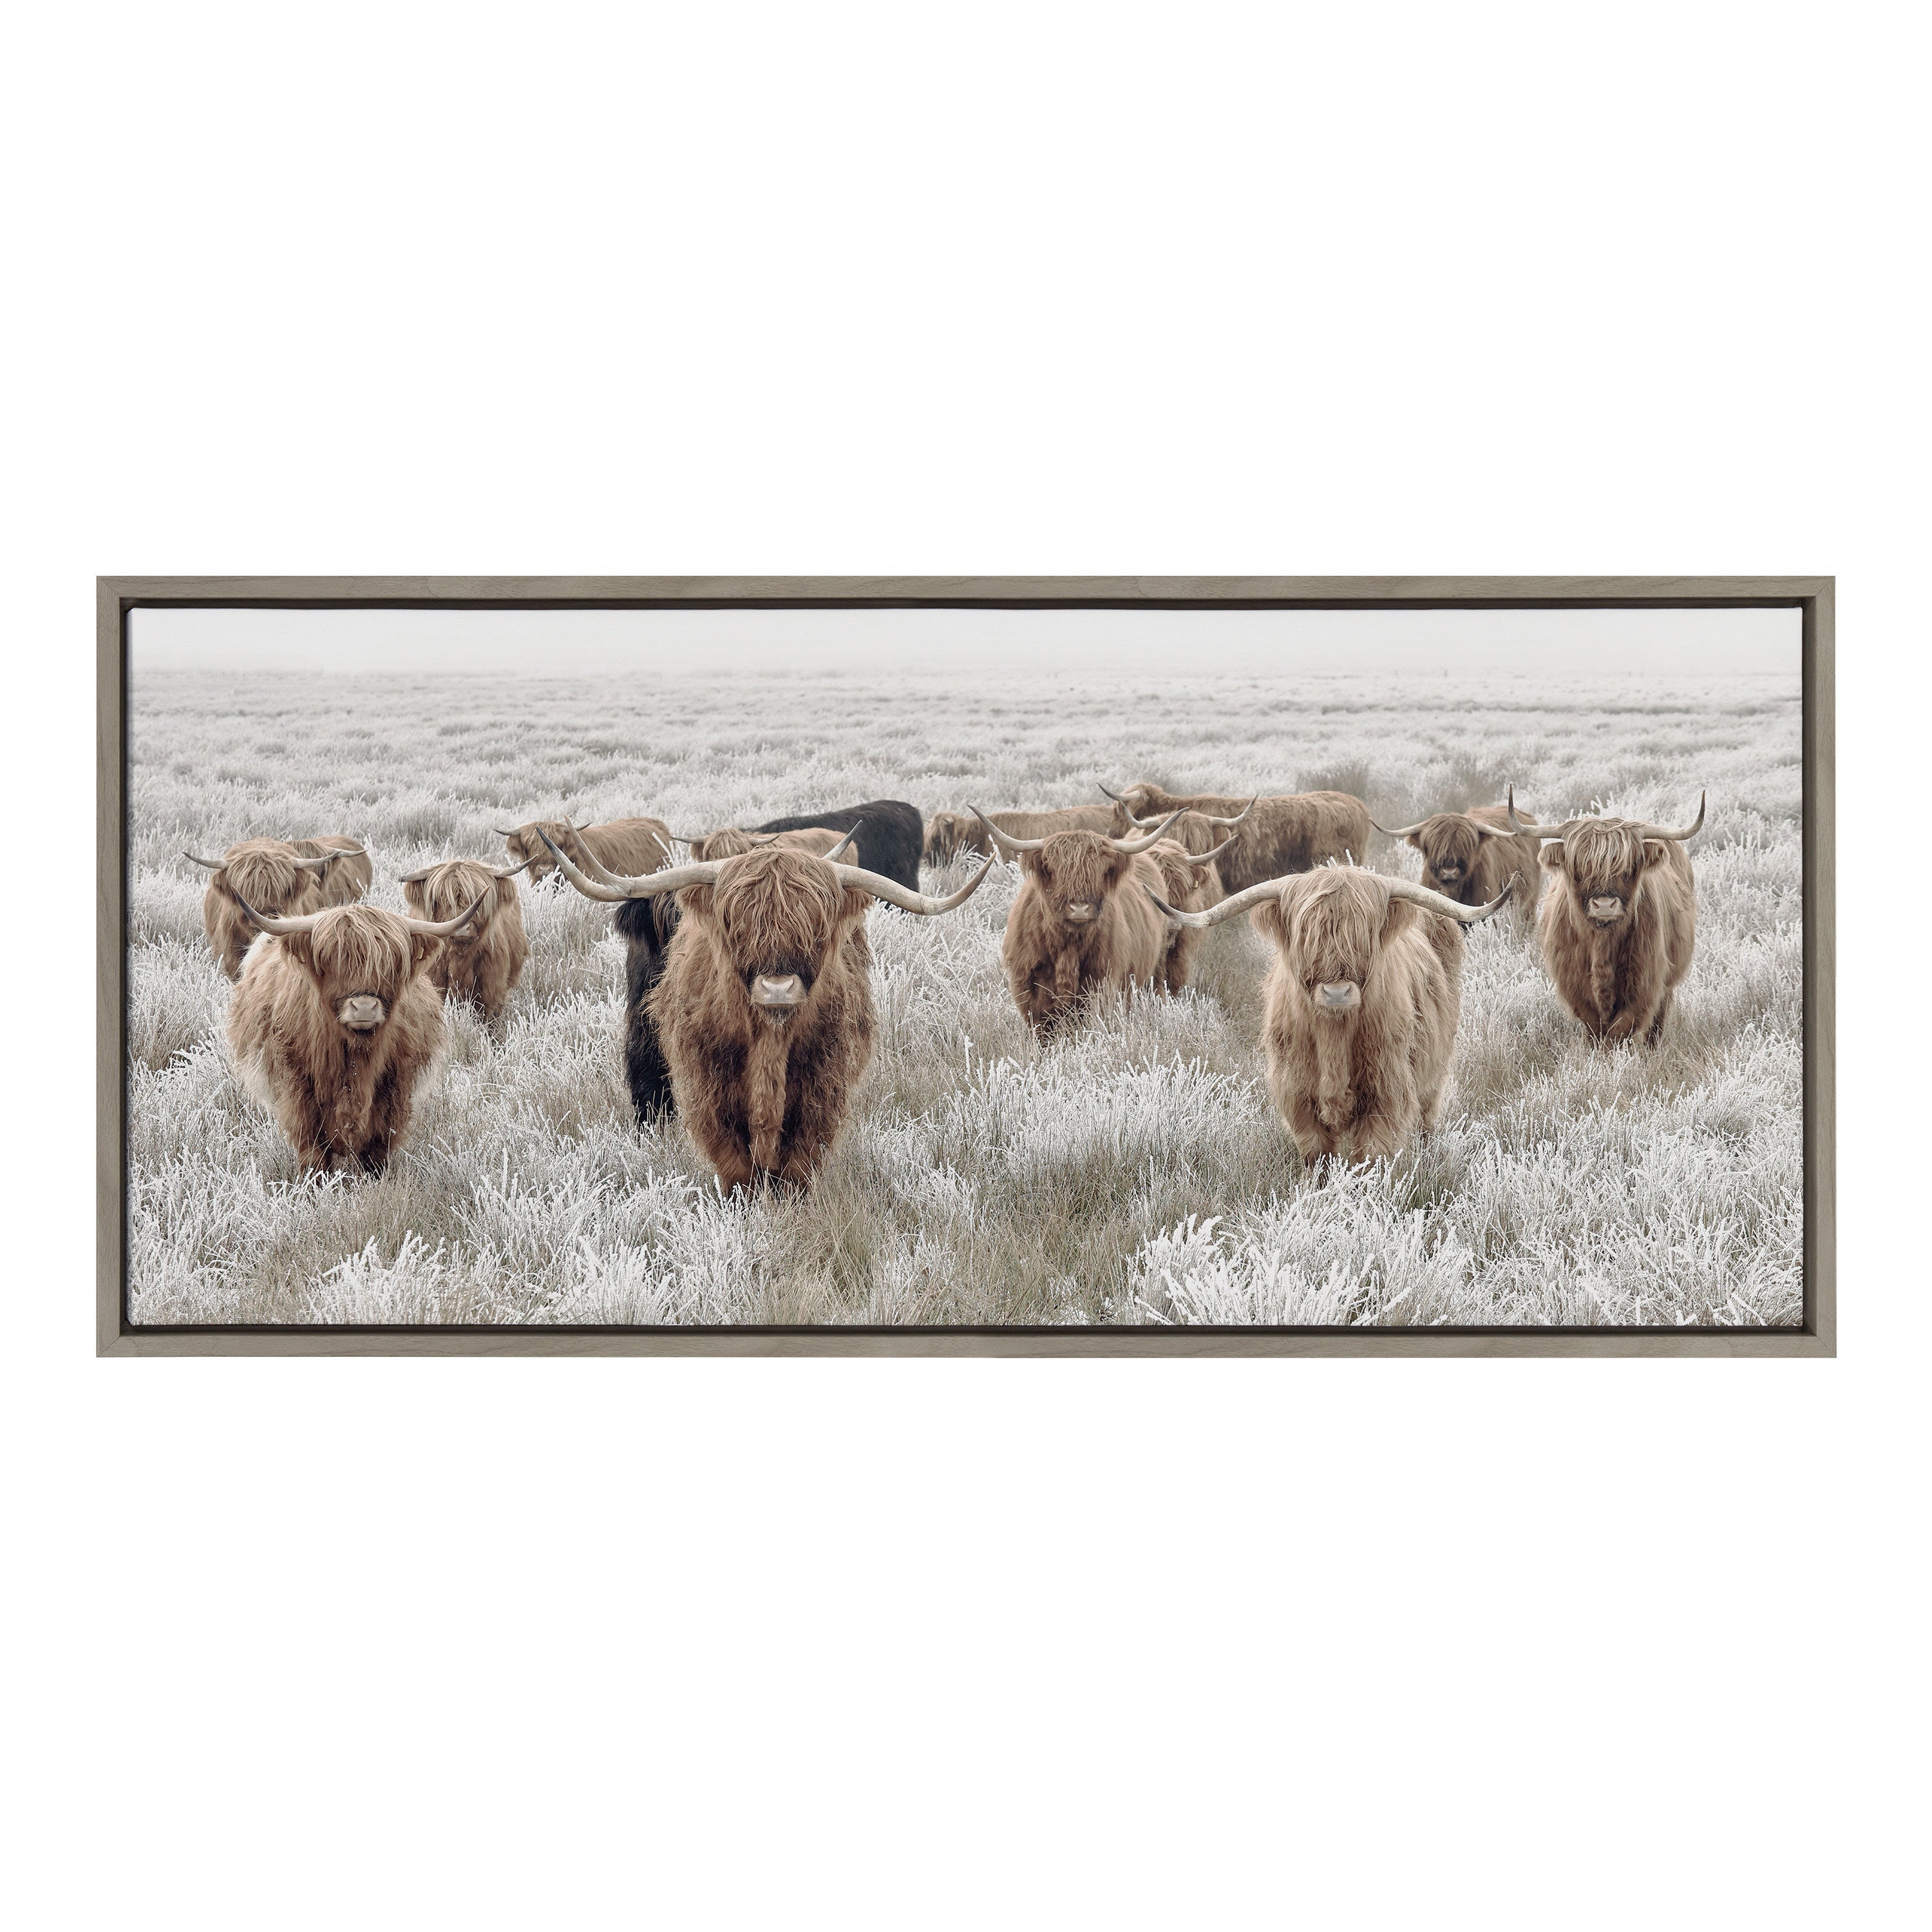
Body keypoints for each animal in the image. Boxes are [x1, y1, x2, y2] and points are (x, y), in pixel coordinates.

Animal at [224, 892, 488, 1175]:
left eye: (391, 964)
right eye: (331, 960)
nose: (364, 1007)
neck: (355, 1055)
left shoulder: (395, 1085)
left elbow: (379, 1142)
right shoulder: (297, 1084)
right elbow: (311, 1143)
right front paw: (315, 1180)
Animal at [539, 828, 991, 1189]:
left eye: (816, 928)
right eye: (736, 925)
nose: (778, 988)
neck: (769, 1041)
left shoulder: (823, 1083)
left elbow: (799, 1159)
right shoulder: (708, 1084)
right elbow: (734, 1159)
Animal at [970, 806, 1205, 1031]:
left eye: (1099, 872)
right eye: (1055, 870)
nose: (1080, 909)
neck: (1068, 946)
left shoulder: (1100, 985)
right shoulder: (1031, 993)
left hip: (1155, 968)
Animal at [1148, 864, 1514, 1164]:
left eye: (1364, 935)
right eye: (1307, 935)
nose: (1336, 993)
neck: (1334, 1037)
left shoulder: (1386, 1092)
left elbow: (1370, 1158)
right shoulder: (1297, 1095)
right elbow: (1317, 1156)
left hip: (1433, 1073)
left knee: (1427, 1118)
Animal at [1509, 787, 1704, 1046]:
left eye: (1628, 868)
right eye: (1579, 868)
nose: (1604, 905)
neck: (1602, 944)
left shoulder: (1645, 984)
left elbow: (1620, 1031)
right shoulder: (1575, 987)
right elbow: (1595, 1030)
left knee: (1657, 1022)